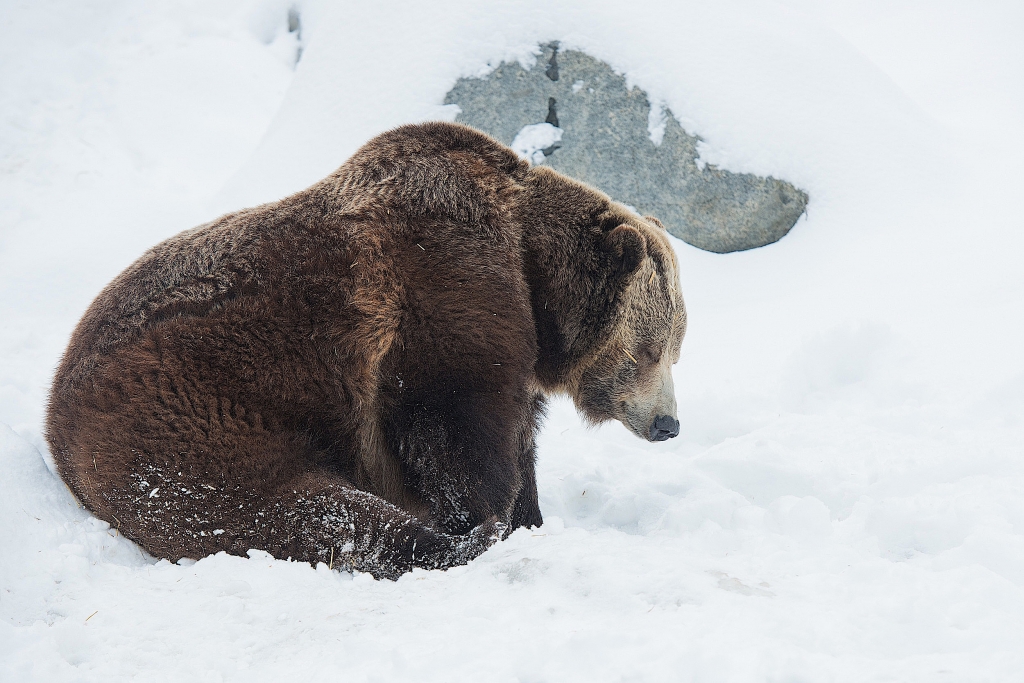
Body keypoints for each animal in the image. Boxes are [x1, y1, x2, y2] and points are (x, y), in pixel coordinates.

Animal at [48, 121, 688, 577]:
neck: (532, 279)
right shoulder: (446, 291)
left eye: (675, 348)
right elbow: (454, 424)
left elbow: (518, 436)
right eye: (651, 349)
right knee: (290, 505)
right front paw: (486, 521)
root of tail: (56, 408)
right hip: (192, 414)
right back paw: (436, 546)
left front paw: (530, 517)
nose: (669, 424)